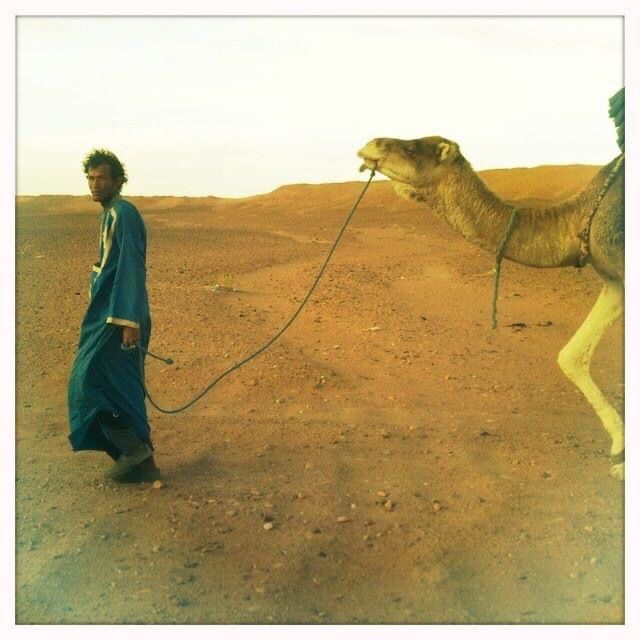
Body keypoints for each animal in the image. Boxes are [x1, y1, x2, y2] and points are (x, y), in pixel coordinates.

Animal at [357, 135, 624, 479]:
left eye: (412, 149)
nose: (371, 144)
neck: (577, 219)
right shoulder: (615, 281)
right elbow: (570, 357)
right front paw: (620, 446)